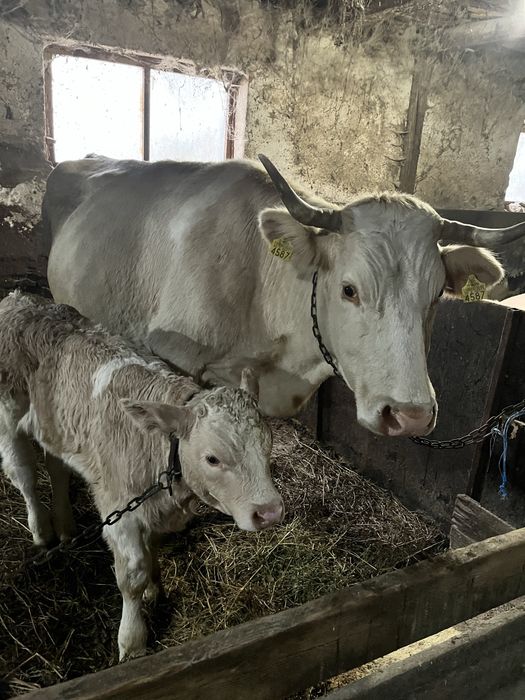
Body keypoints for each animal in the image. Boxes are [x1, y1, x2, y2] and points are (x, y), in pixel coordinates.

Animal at [0, 292, 283, 660]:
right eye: (212, 458)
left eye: (268, 444)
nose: (270, 512)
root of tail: (19, 299)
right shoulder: (120, 508)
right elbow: (132, 575)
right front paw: (132, 642)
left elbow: (154, 547)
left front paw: (155, 587)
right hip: (7, 419)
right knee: (24, 475)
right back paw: (41, 530)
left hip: (56, 425)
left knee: (57, 468)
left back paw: (65, 527)